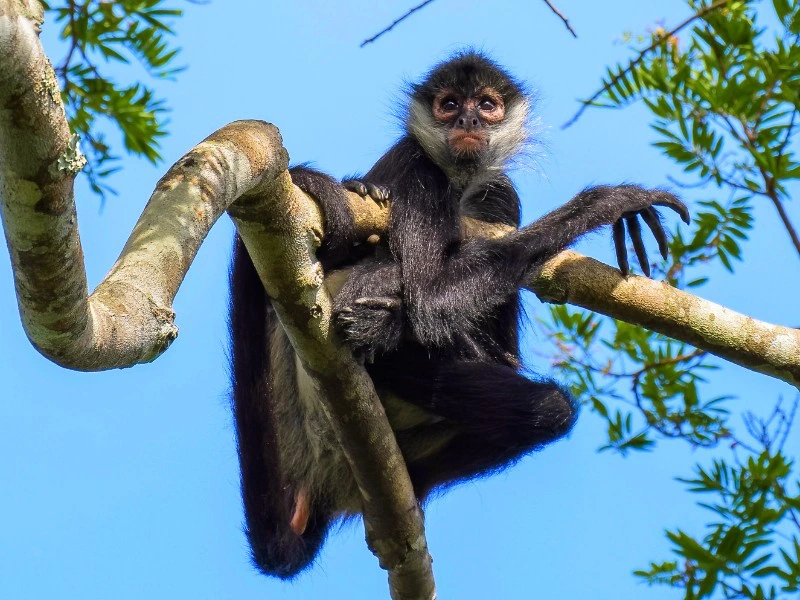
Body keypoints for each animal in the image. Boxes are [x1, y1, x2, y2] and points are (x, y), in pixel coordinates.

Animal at [229, 50, 690, 580]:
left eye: (486, 105)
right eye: (449, 104)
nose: (467, 121)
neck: (459, 182)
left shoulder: (501, 194)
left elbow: (500, 348)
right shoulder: (417, 168)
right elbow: (429, 299)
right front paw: (609, 201)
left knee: (547, 409)